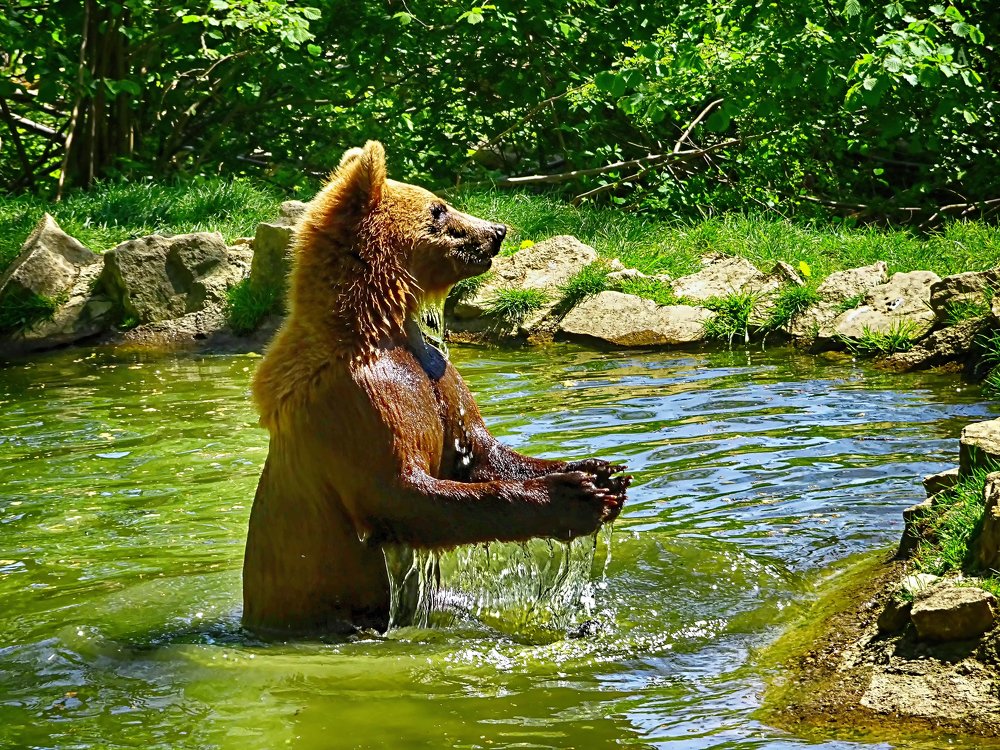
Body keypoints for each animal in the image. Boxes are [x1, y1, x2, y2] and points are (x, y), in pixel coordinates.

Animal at [242, 141, 629, 636]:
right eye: (439, 209)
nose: (497, 230)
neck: (376, 323)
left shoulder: (436, 373)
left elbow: (477, 452)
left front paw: (601, 472)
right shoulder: (356, 401)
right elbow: (400, 491)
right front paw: (575, 495)